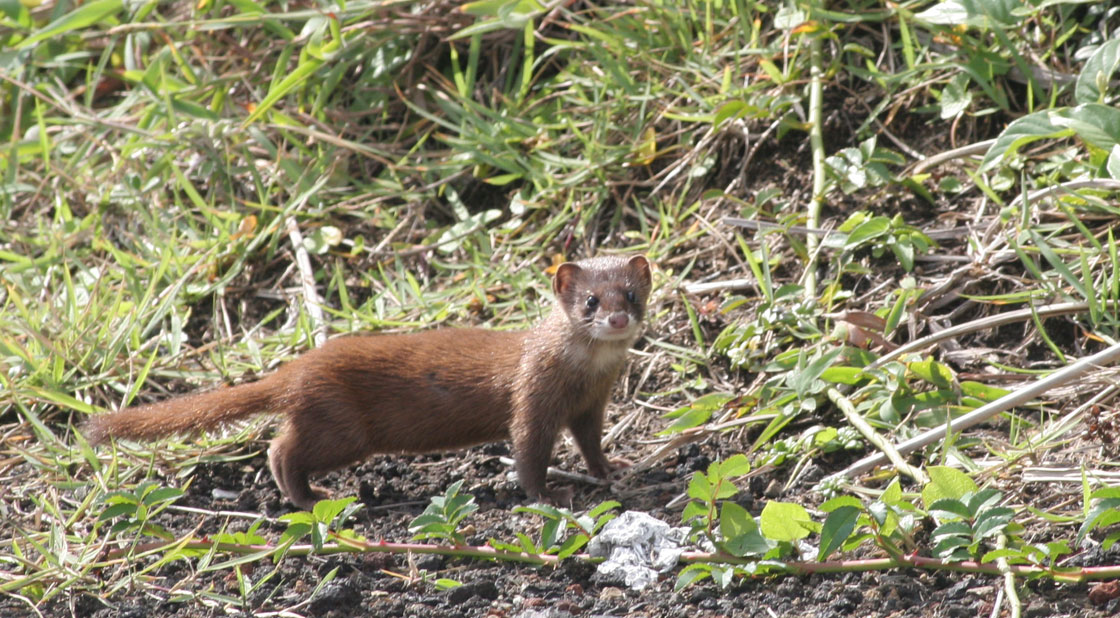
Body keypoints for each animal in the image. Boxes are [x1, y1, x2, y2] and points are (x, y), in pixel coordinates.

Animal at [82, 253, 654, 508]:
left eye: (631, 293)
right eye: (589, 301)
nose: (617, 318)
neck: (585, 375)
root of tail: (297, 368)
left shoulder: (593, 402)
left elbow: (590, 442)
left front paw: (612, 469)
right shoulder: (534, 394)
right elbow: (529, 449)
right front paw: (549, 494)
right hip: (342, 427)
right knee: (281, 450)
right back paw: (312, 498)